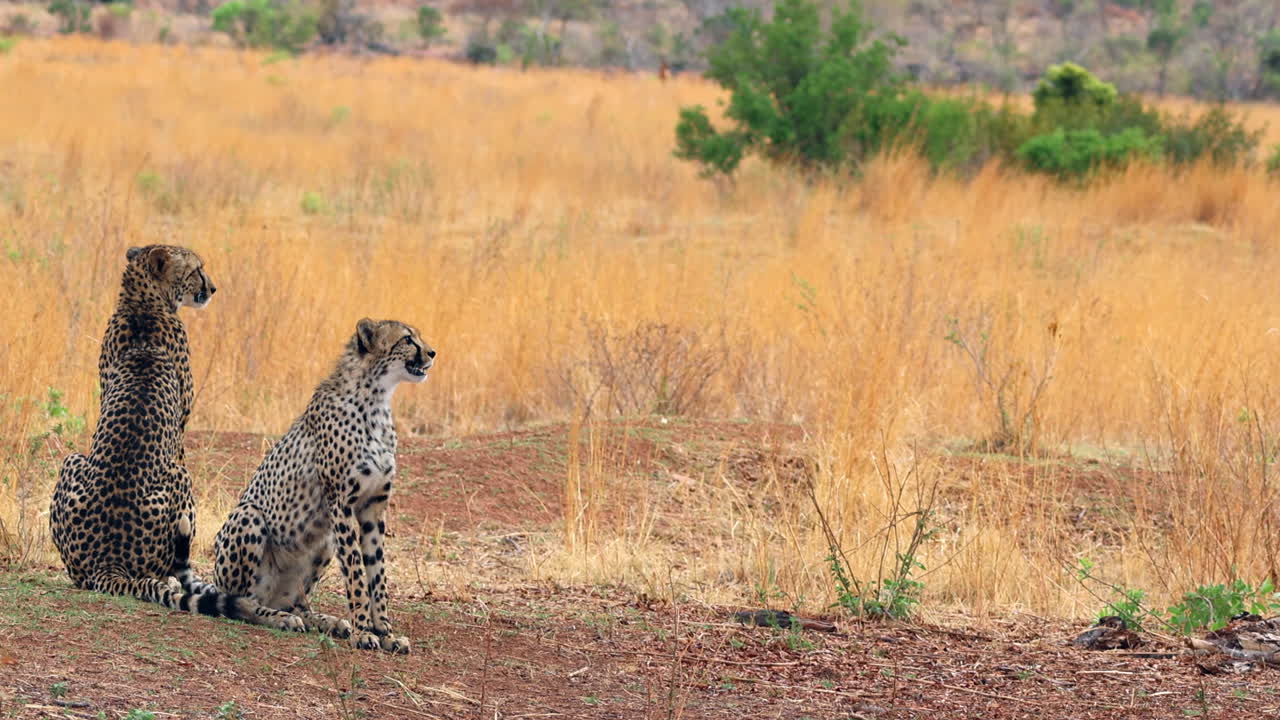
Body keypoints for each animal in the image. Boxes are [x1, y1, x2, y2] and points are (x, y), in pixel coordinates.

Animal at [49, 245, 303, 632]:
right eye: (197, 269)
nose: (213, 288)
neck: (142, 303)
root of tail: (106, 561)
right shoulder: (182, 423)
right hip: (178, 479)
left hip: (73, 461)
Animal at [213, 318, 435, 653]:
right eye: (408, 339)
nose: (432, 353)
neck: (376, 399)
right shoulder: (340, 503)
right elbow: (356, 573)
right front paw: (364, 632)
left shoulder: (373, 508)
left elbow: (377, 573)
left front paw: (385, 632)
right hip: (249, 516)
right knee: (241, 602)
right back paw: (280, 619)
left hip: (324, 542)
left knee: (295, 602)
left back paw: (326, 621)